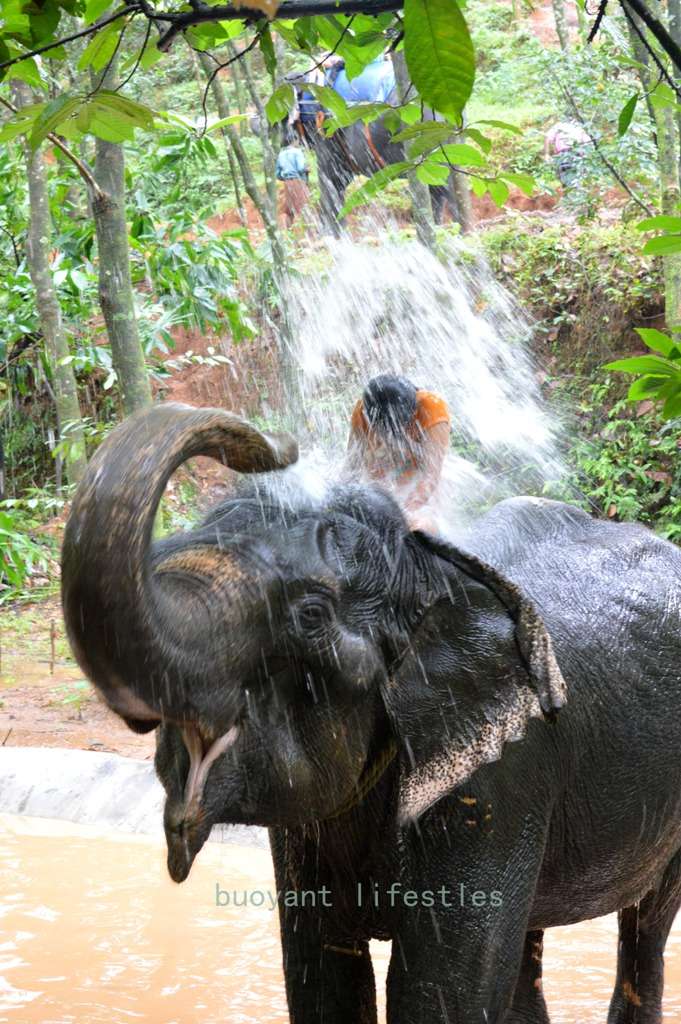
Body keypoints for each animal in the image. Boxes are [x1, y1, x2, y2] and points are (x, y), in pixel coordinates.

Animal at [59, 401, 681, 1024]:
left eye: (311, 614)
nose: (279, 447)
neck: (428, 568)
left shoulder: (500, 780)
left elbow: (437, 993)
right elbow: (322, 975)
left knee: (646, 927)